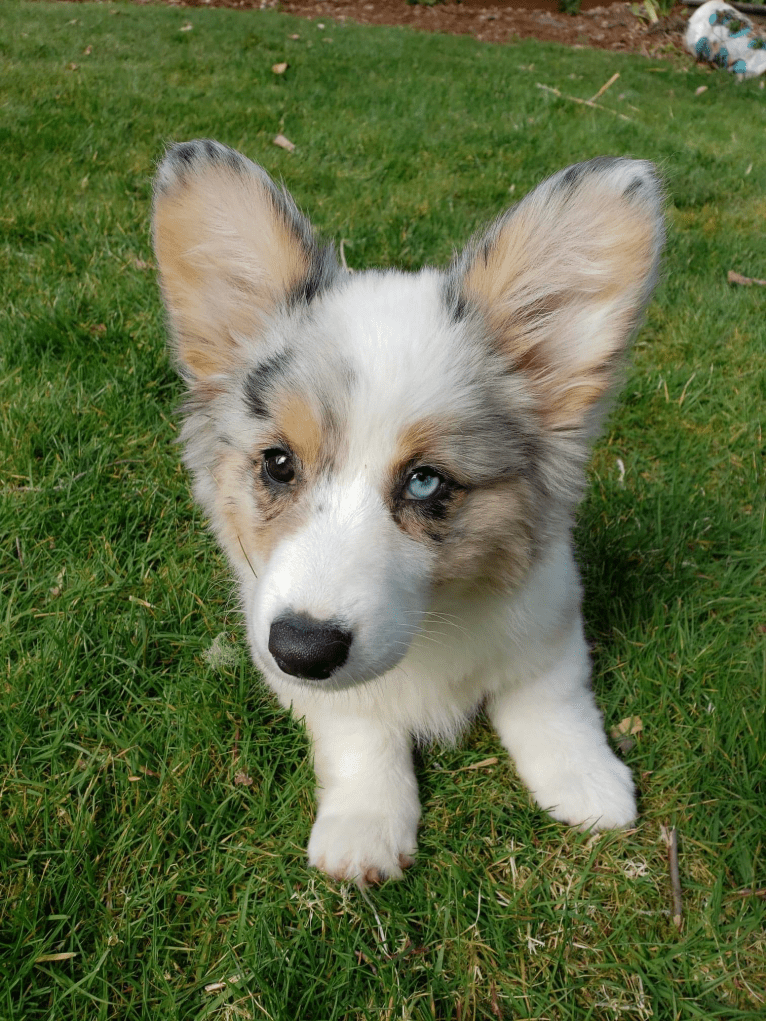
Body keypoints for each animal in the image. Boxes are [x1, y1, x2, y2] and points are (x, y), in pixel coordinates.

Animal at [151, 143, 665, 886]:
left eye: (425, 481)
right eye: (278, 463)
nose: (302, 649)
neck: (431, 625)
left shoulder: (549, 622)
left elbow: (552, 703)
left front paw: (588, 783)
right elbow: (359, 735)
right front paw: (364, 828)